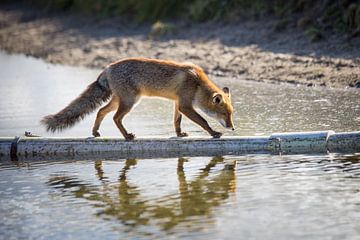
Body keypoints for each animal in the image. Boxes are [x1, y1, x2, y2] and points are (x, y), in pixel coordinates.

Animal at [41, 58, 233, 140]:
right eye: (224, 114)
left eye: (231, 114)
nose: (232, 128)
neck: (197, 83)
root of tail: (107, 68)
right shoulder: (185, 105)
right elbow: (203, 122)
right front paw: (214, 133)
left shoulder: (178, 103)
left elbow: (176, 121)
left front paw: (179, 134)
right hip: (129, 102)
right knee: (115, 118)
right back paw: (127, 136)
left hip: (119, 101)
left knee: (101, 111)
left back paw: (96, 132)